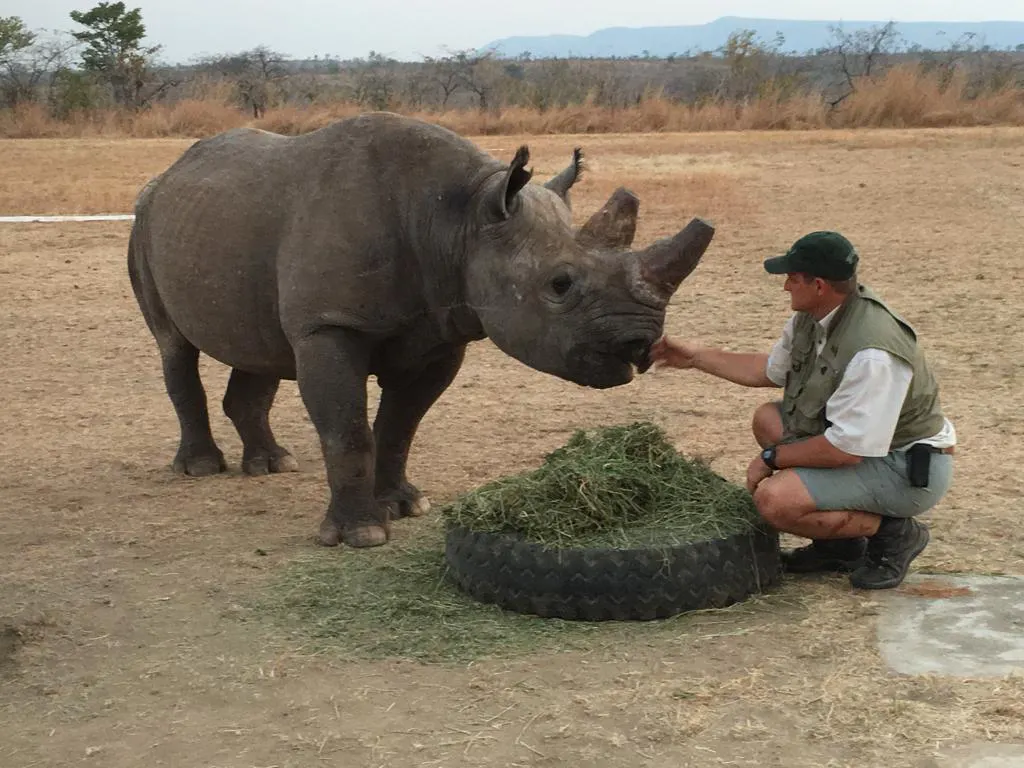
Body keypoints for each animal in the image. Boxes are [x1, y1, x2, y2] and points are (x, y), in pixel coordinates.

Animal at [127, 112, 715, 549]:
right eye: (560, 285)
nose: (640, 345)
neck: (463, 217)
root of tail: (167, 175)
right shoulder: (330, 325)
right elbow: (347, 429)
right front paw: (361, 536)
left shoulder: (440, 332)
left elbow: (401, 425)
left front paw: (405, 505)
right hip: (145, 219)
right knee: (174, 348)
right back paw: (201, 468)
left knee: (259, 350)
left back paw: (271, 466)